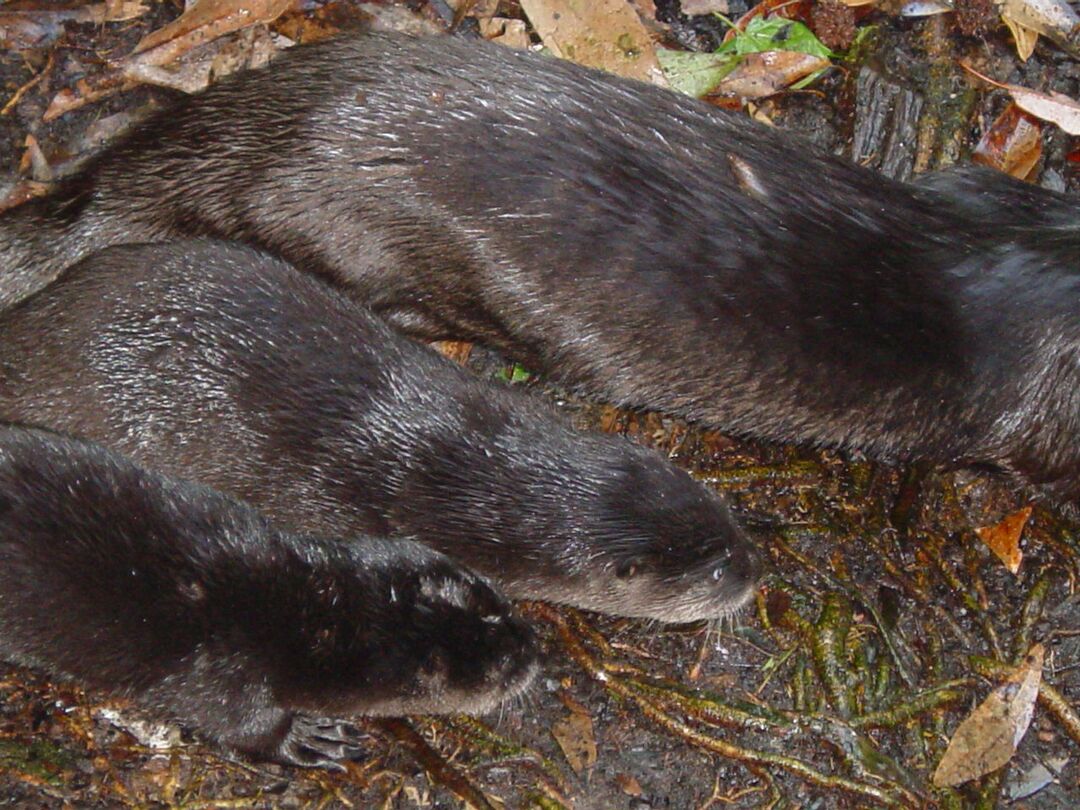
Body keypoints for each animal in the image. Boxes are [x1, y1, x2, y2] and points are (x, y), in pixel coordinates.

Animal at [0, 425, 537, 768]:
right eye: (501, 667)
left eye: (495, 601)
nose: (534, 648)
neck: (310, 611)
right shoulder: (224, 666)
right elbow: (233, 719)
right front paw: (306, 739)